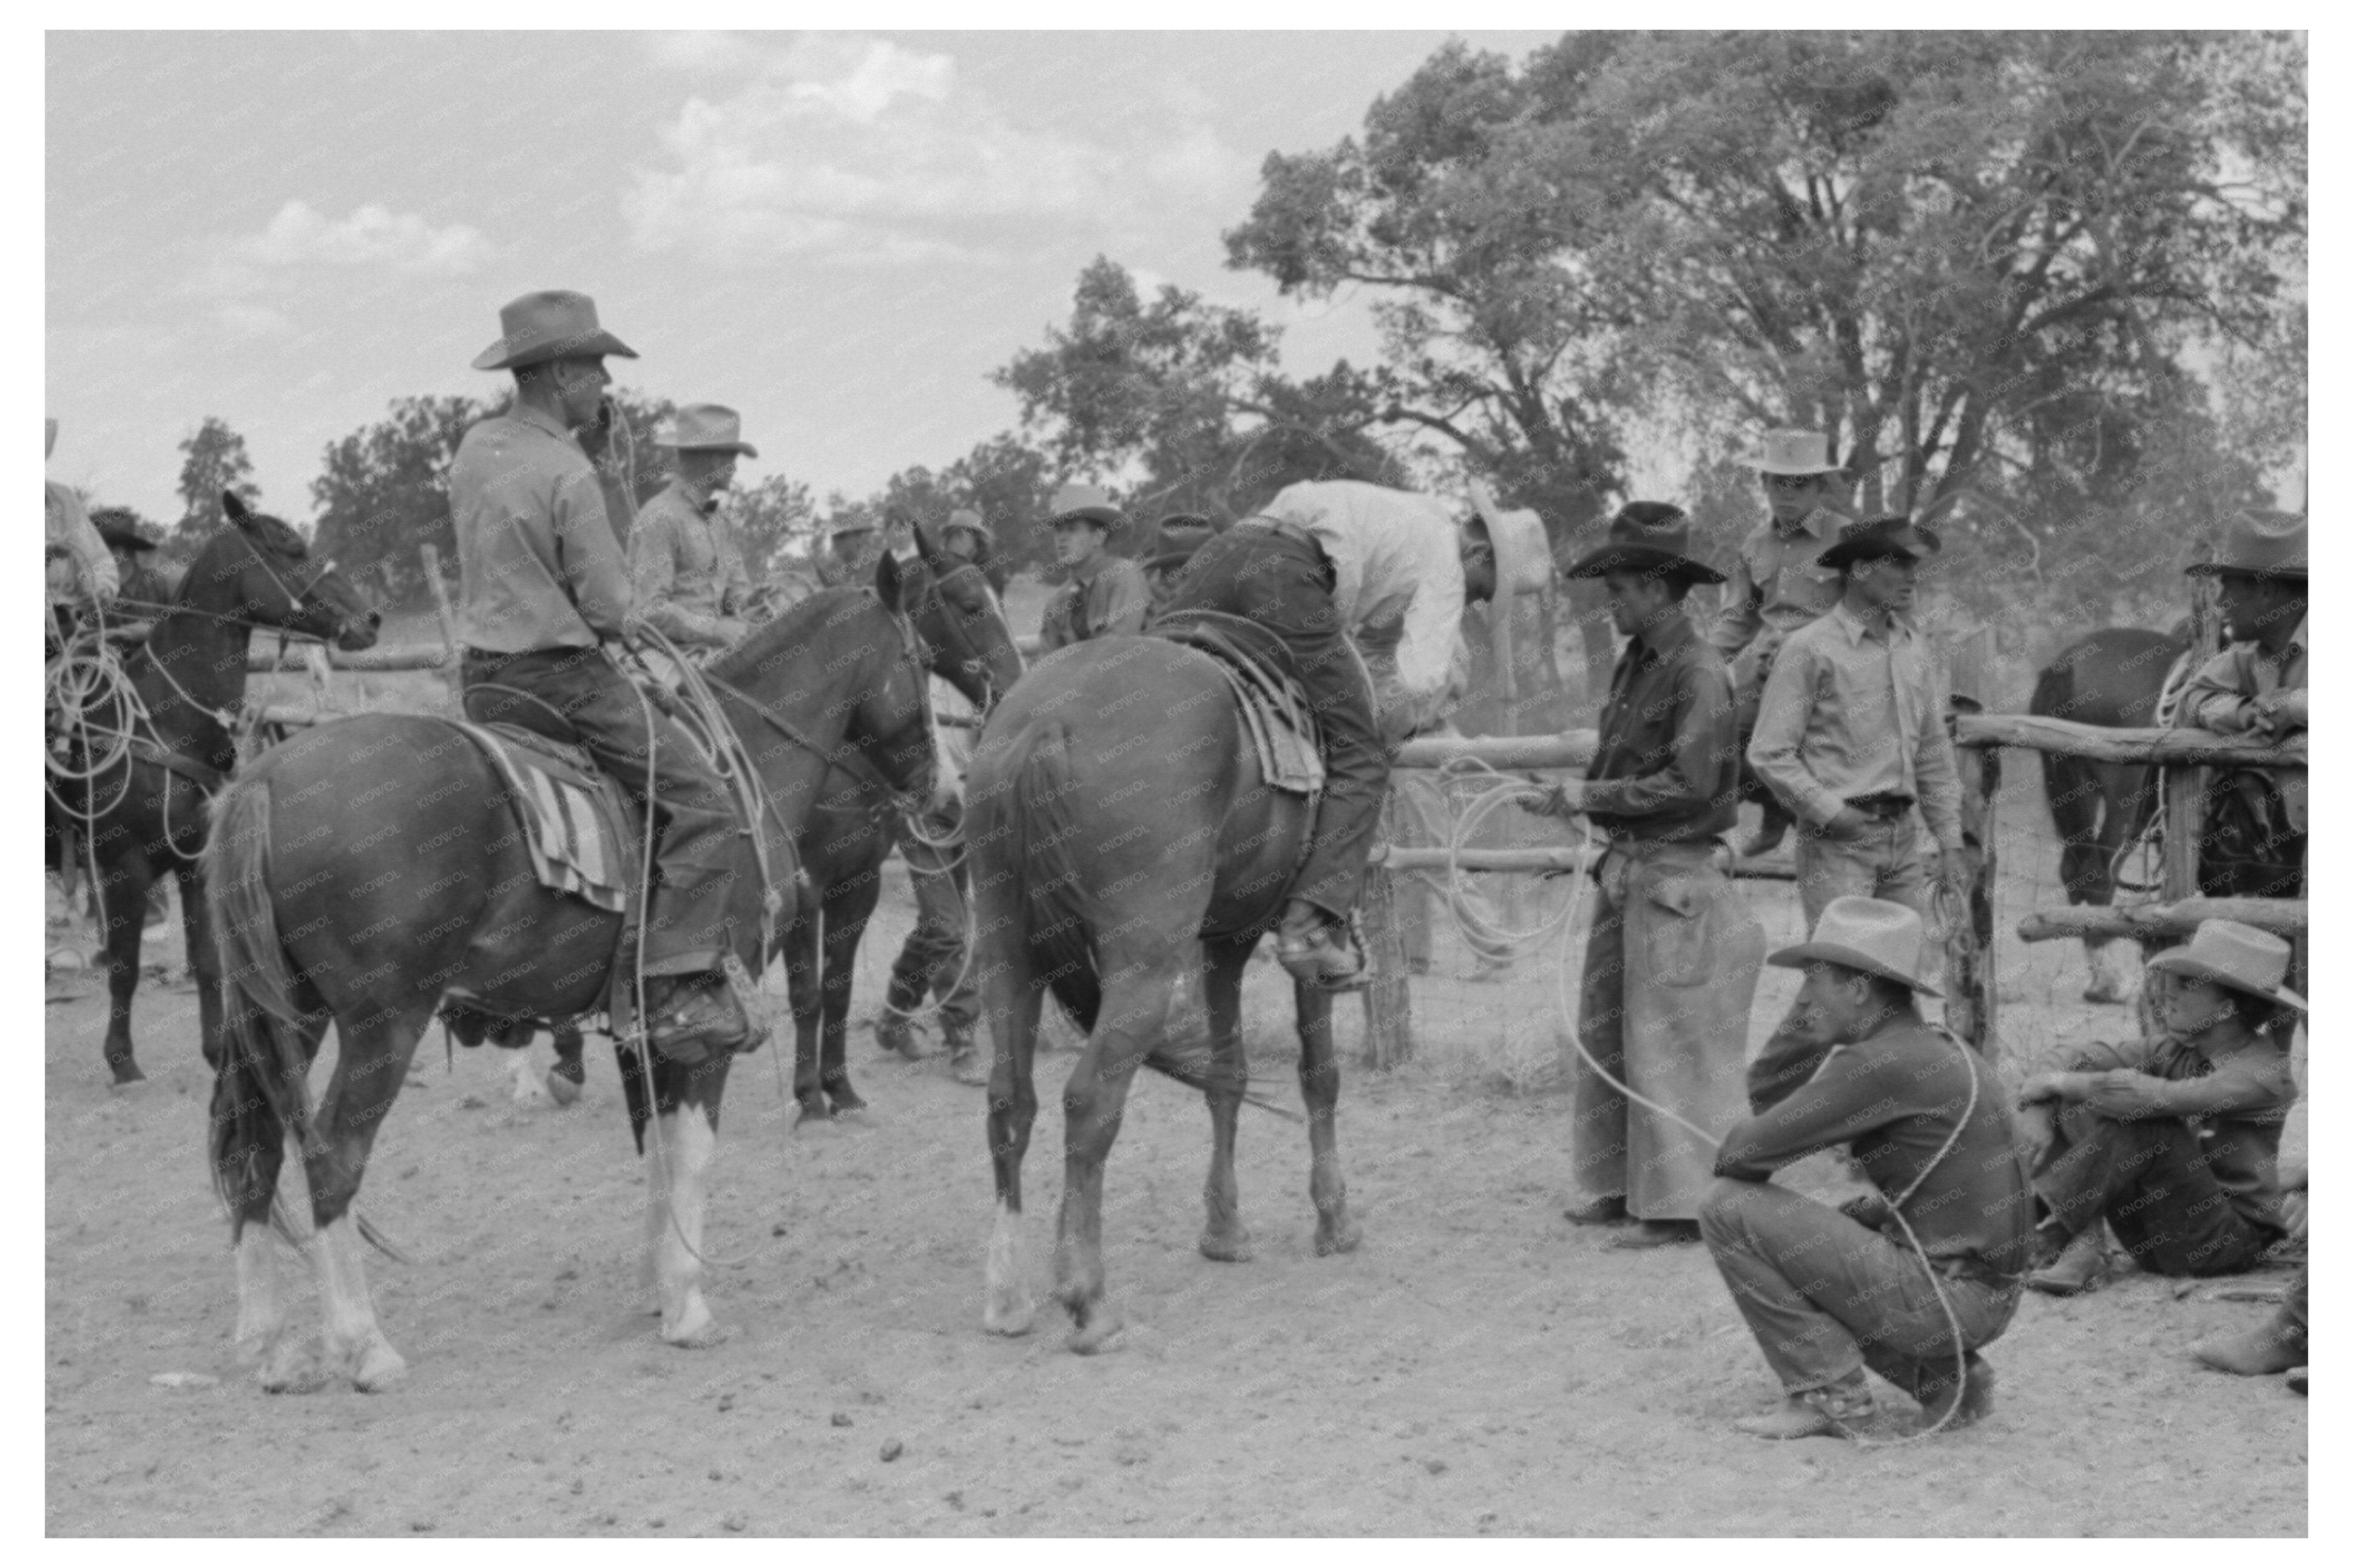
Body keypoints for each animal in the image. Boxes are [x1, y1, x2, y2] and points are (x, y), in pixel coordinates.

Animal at [41, 494, 376, 1083]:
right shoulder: (124, 867)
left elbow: (205, 961)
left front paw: (217, 1048)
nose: (372, 619)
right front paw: (122, 1060)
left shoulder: (193, 863)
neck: (164, 721)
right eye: (293, 549)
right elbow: (125, 967)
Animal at [202, 567, 936, 1384]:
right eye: (922, 658)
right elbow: (693, 1151)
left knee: (252, 1143)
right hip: (381, 1024)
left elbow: (656, 1148)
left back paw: (268, 1341)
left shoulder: (640, 1024)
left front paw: (656, 1287)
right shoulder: (710, 1026)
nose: (938, 785)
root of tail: (265, 778)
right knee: (332, 1152)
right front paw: (689, 1307)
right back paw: (364, 1345)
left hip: (285, 1014)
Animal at [955, 630, 1365, 1347]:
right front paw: (1334, 1220)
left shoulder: (1224, 942)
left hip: (1007, 954)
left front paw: (1224, 1231)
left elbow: (1228, 1075)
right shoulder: (1305, 939)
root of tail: (1046, 721)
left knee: (1010, 1100)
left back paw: (1009, 1296)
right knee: (1089, 1101)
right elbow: (1320, 1075)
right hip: (1142, 967)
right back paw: (1087, 1299)